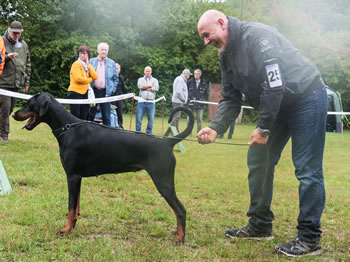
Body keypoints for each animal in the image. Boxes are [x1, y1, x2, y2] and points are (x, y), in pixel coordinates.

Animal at [13, 92, 194, 244]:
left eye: (29, 104)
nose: (14, 114)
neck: (67, 128)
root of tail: (167, 142)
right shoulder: (78, 178)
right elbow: (76, 206)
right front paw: (73, 226)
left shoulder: (72, 176)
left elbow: (70, 207)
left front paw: (66, 229)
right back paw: (176, 233)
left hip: (163, 181)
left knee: (181, 210)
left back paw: (180, 238)